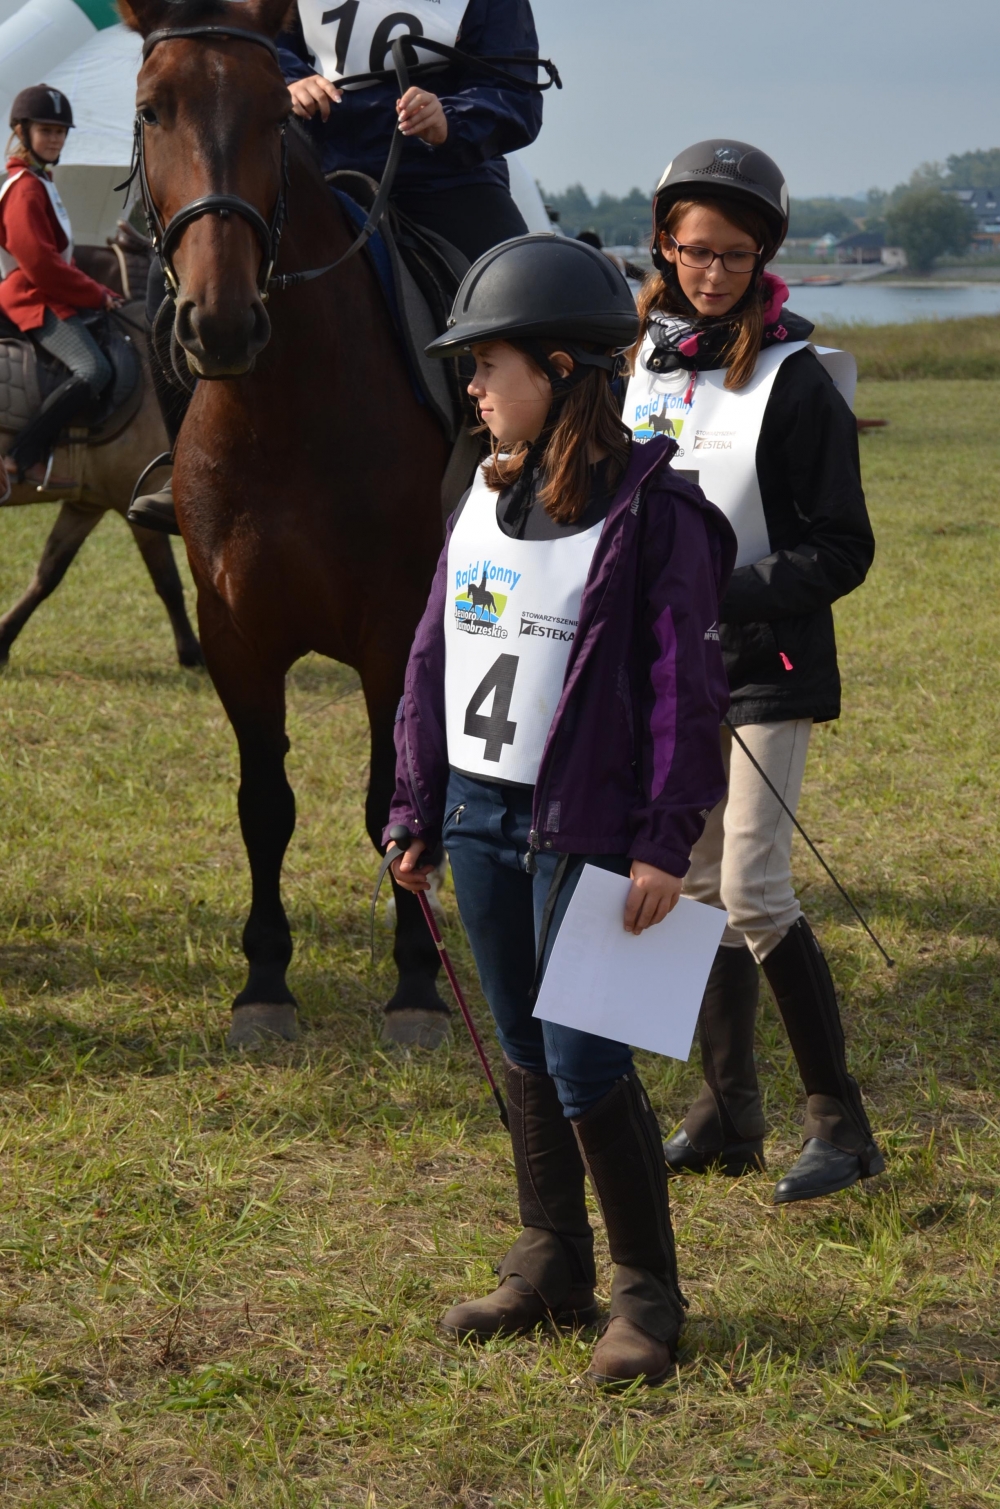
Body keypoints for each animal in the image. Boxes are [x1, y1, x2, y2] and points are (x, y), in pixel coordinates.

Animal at [0, 262, 203, 670]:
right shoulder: (136, 503)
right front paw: (191, 652)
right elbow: (168, 582)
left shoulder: (86, 504)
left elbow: (47, 574)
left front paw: (1, 640)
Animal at [121, 0, 453, 1049]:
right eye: (151, 109)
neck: (286, 413)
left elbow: (389, 797)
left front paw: (416, 985)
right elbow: (264, 803)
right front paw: (264, 982)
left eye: (274, 116)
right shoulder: (235, 633)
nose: (221, 323)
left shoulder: (394, 631)